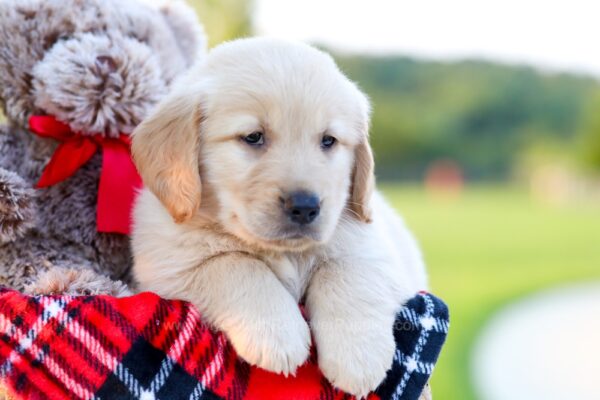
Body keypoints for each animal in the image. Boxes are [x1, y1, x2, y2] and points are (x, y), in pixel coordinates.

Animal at [131, 38, 426, 396]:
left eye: (328, 140)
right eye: (253, 137)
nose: (305, 206)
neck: (283, 252)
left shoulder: (376, 251)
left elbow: (347, 272)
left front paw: (357, 358)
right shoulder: (169, 267)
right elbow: (234, 264)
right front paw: (277, 335)